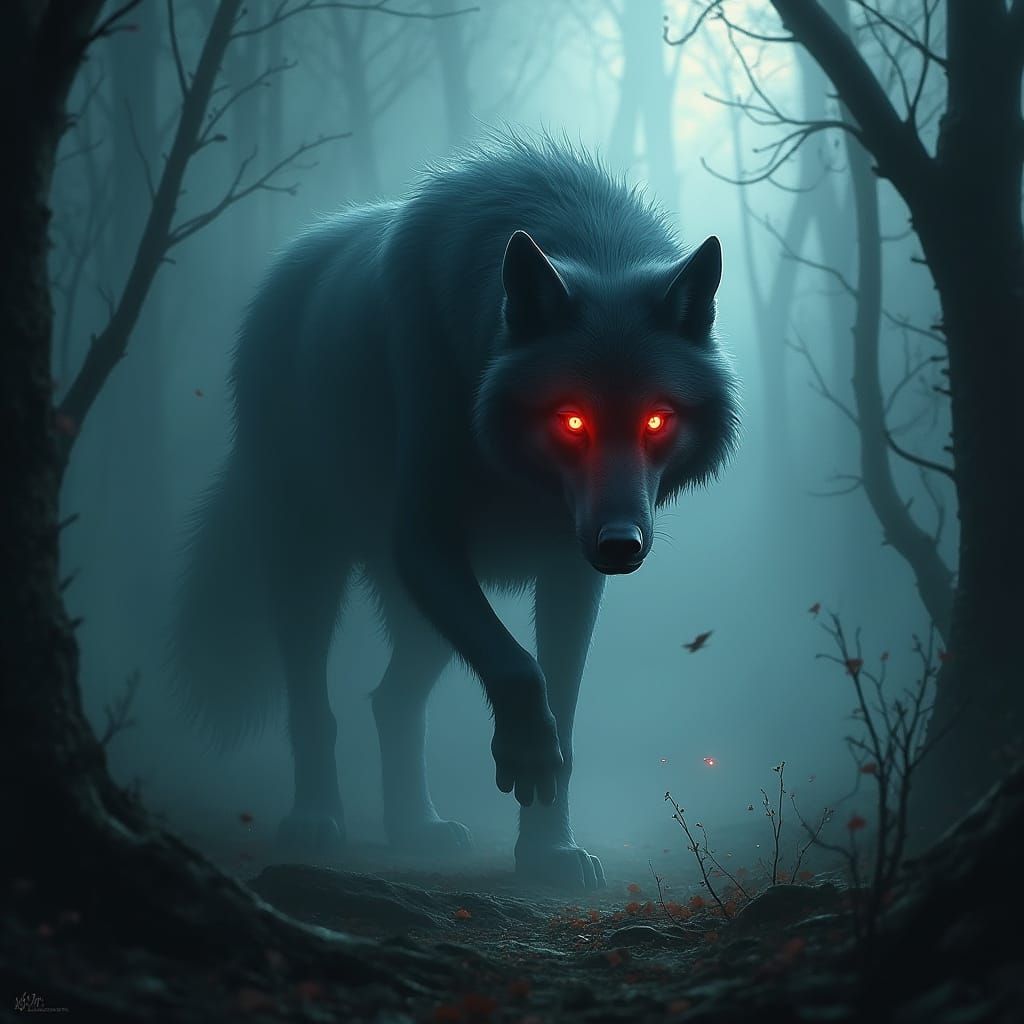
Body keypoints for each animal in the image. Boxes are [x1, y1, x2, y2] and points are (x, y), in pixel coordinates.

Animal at [174, 131, 739, 890]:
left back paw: (416, 828)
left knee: (390, 702)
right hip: (312, 561)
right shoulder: (425, 542)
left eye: (656, 419)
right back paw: (317, 819)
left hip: (421, 616)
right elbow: (521, 672)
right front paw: (528, 758)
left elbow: (562, 706)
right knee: (314, 705)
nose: (621, 545)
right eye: (571, 419)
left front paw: (549, 854)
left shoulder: (569, 571)